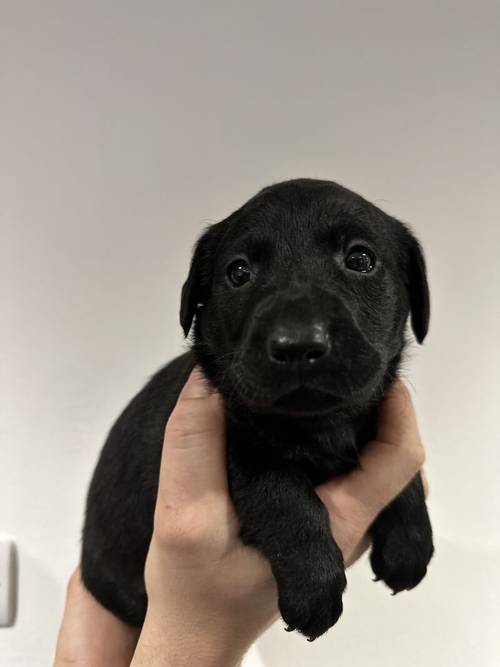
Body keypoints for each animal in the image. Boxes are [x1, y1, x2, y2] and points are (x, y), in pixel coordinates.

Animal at [82, 177, 434, 640]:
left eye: (361, 259)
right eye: (239, 273)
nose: (298, 343)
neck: (317, 426)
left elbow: (402, 472)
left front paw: (411, 542)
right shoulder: (238, 448)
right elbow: (285, 496)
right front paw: (315, 585)